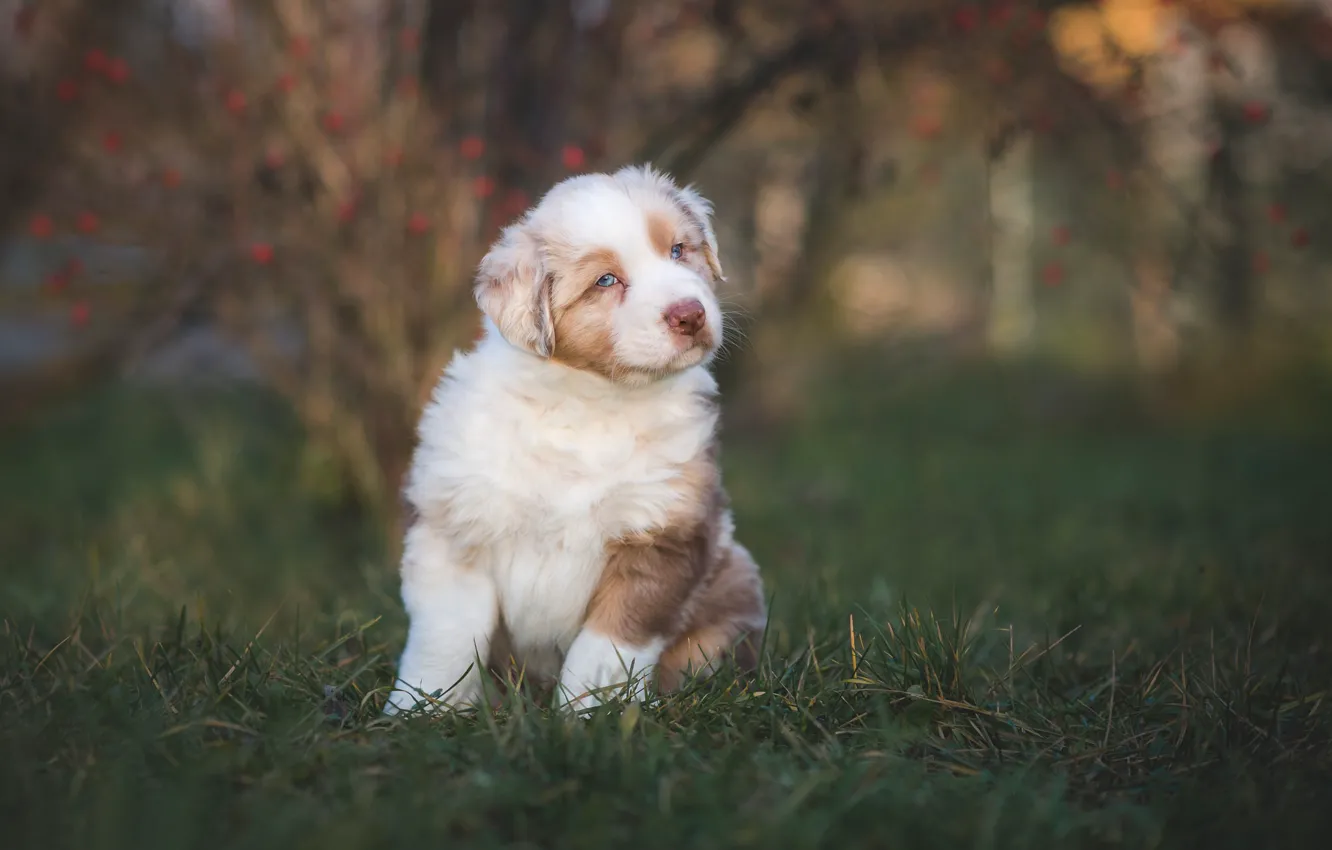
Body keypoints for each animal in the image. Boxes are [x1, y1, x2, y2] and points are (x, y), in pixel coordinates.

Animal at [380, 163, 767, 714]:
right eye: (605, 280)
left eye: (678, 250)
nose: (690, 314)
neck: (591, 402)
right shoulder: (456, 525)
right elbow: (447, 636)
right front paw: (421, 709)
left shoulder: (660, 535)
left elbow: (607, 646)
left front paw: (590, 715)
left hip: (733, 581)